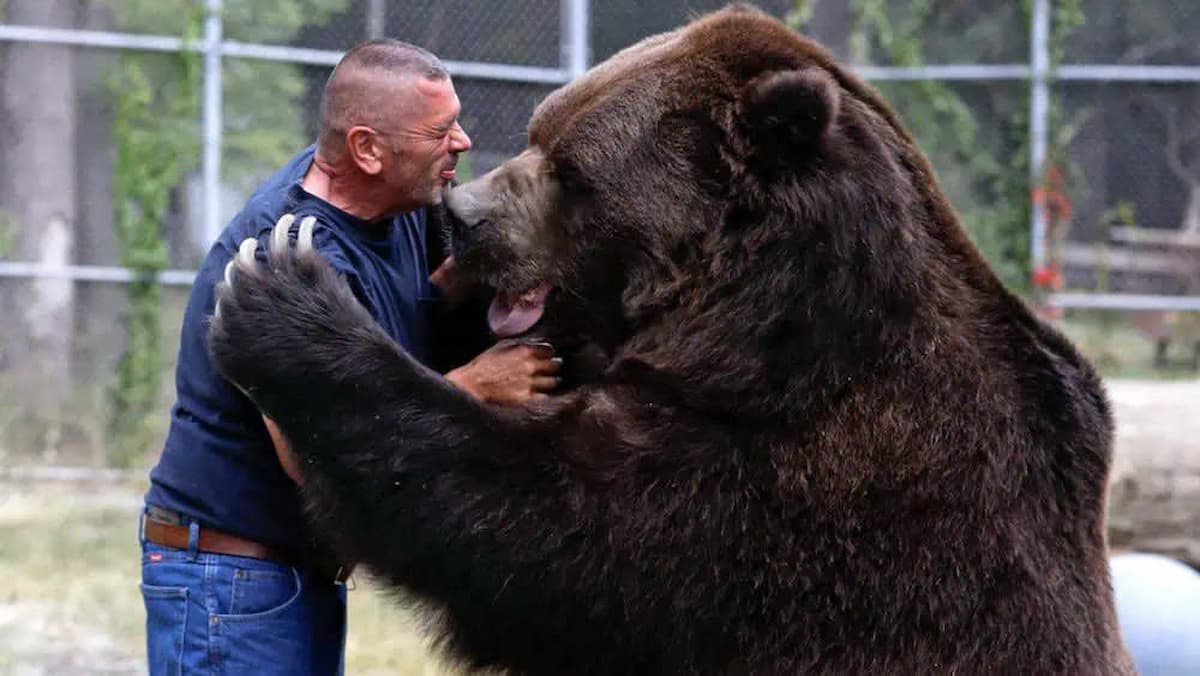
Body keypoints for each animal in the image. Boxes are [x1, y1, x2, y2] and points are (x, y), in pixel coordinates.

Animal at [208, 5, 1132, 676]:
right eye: (539, 128)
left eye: (573, 172)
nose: (461, 215)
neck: (764, 326)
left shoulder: (796, 490)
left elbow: (545, 523)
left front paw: (285, 299)